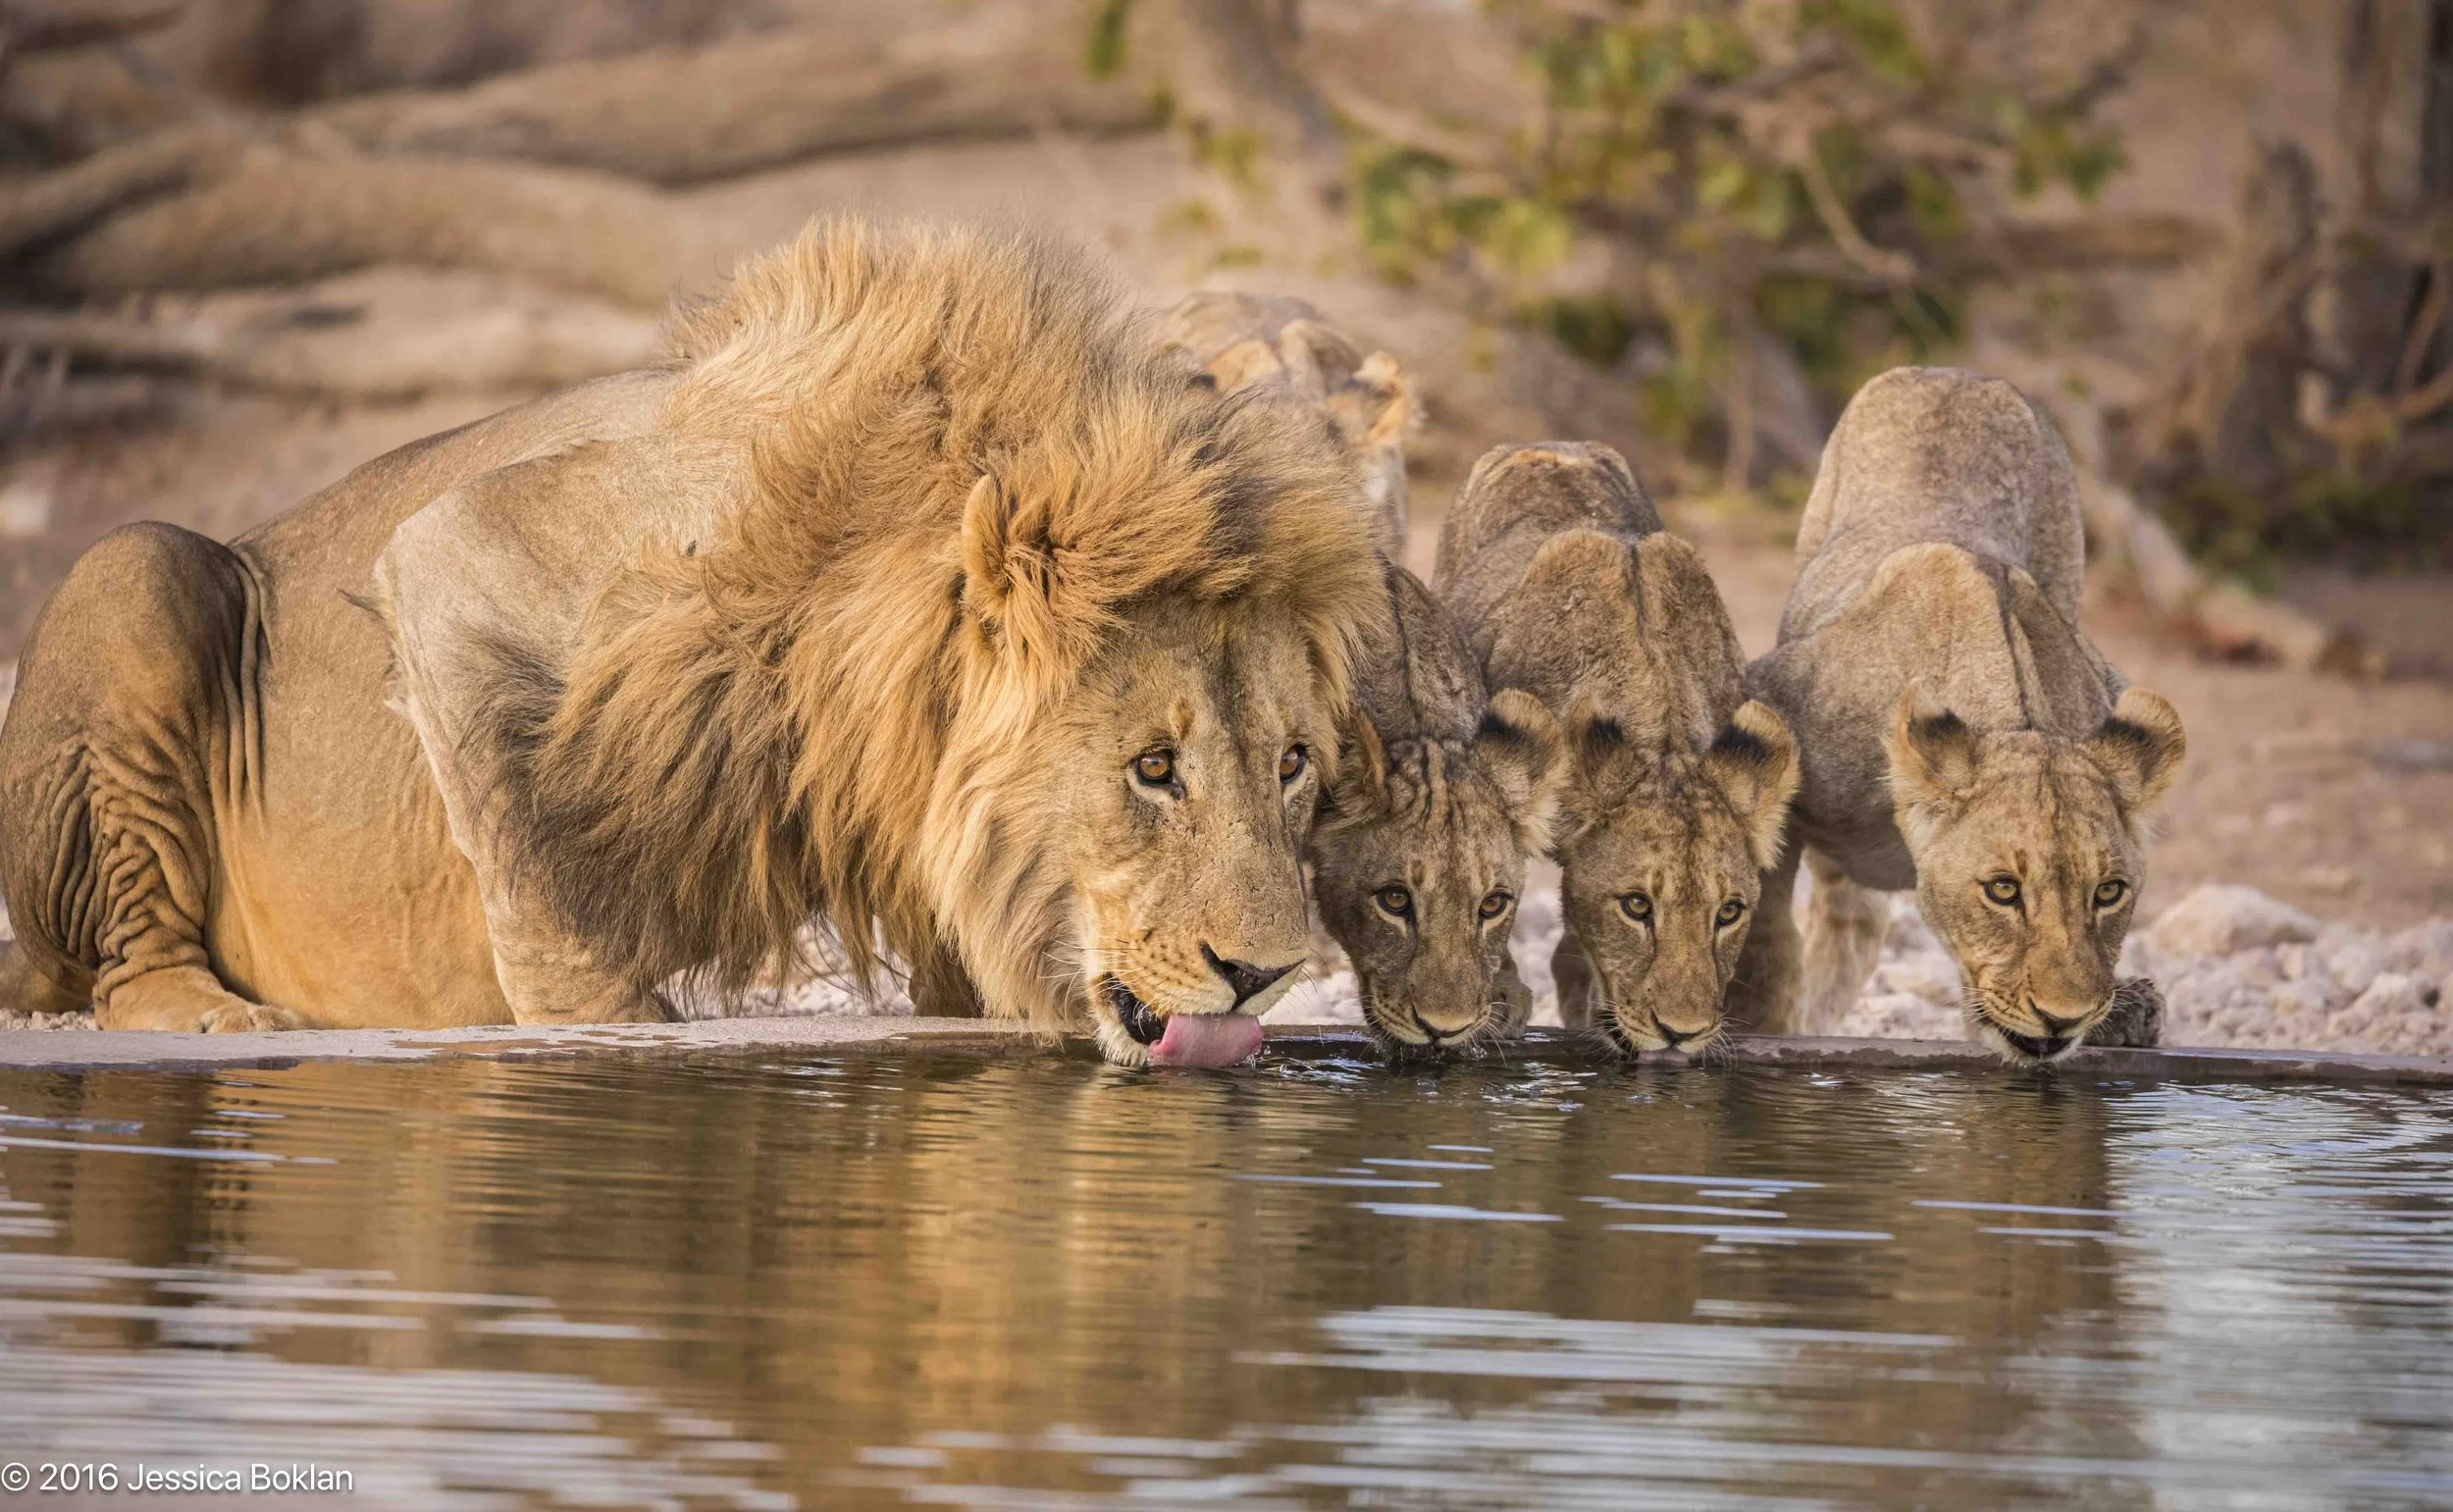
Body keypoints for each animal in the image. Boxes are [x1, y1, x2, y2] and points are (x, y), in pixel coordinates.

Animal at [0, 220, 1388, 1069]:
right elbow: (539, 880)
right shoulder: (465, 547)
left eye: (1291, 765)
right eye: (1153, 769)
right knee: (124, 963)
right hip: (136, 570)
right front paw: (611, 1034)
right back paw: (209, 1013)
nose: (1265, 973)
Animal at [1436, 441, 1800, 1054]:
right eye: (1636, 906)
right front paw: (1500, 997)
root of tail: (1552, 447)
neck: (1664, 734)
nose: (1681, 1034)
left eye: (1728, 913)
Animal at [1729, 367, 2186, 1064]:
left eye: (2109, 893)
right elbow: (1766, 938)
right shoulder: (1769, 706)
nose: (2063, 1020)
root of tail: (1957, 372)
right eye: (2003, 890)